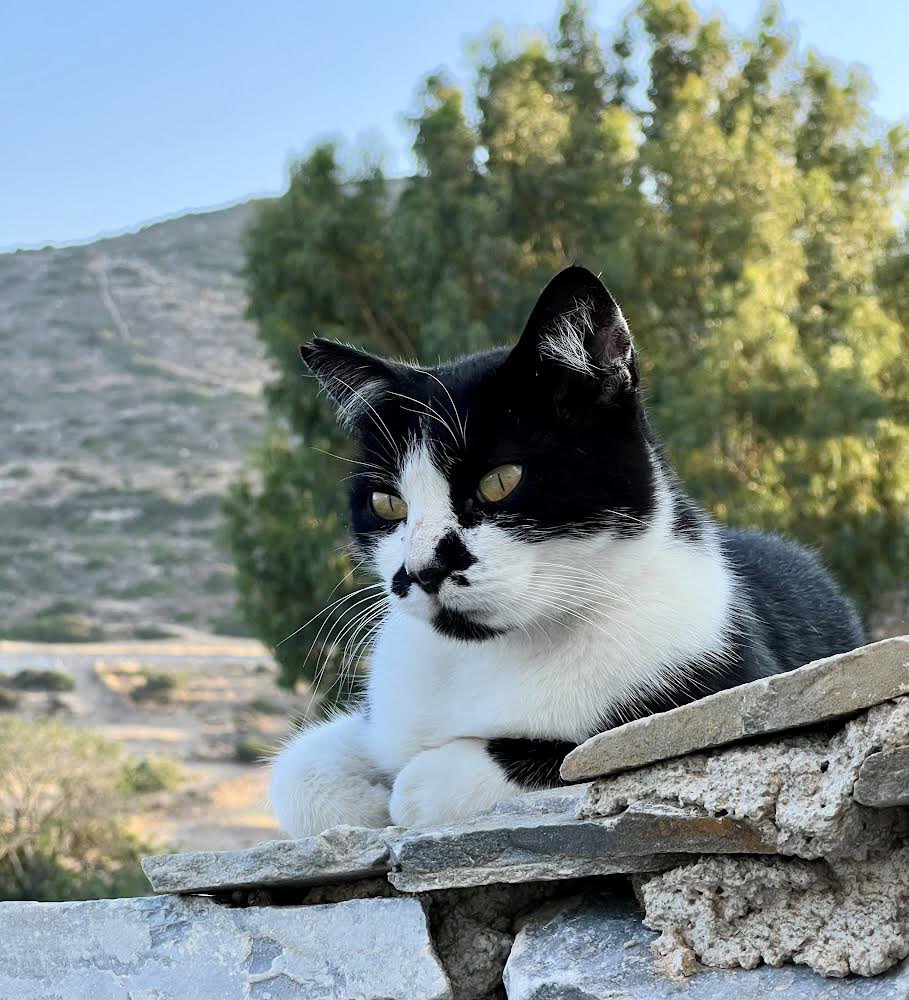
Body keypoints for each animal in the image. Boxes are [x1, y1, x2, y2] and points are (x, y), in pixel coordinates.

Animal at [268, 266, 860, 836]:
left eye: (501, 481)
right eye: (386, 502)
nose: (421, 569)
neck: (489, 657)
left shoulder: (722, 698)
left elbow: (579, 758)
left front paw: (407, 791)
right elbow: (295, 771)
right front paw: (368, 797)